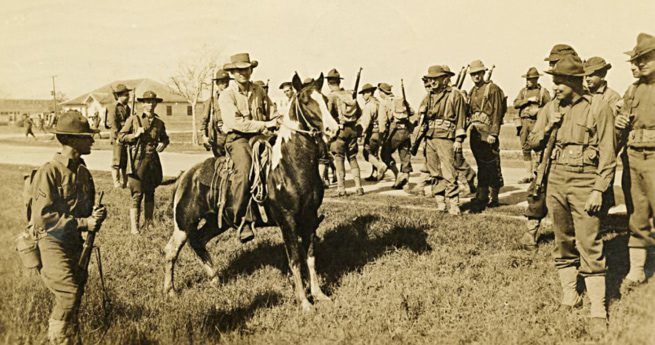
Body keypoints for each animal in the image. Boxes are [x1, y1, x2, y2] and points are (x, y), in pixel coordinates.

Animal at [163, 73, 338, 312]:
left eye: (325, 99)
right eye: (305, 101)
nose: (333, 129)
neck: (290, 167)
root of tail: (185, 176)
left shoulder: (309, 218)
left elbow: (310, 257)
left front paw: (320, 295)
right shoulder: (288, 221)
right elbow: (294, 260)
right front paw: (304, 302)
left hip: (217, 221)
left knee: (198, 241)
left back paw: (215, 279)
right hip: (183, 223)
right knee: (171, 251)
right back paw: (170, 291)